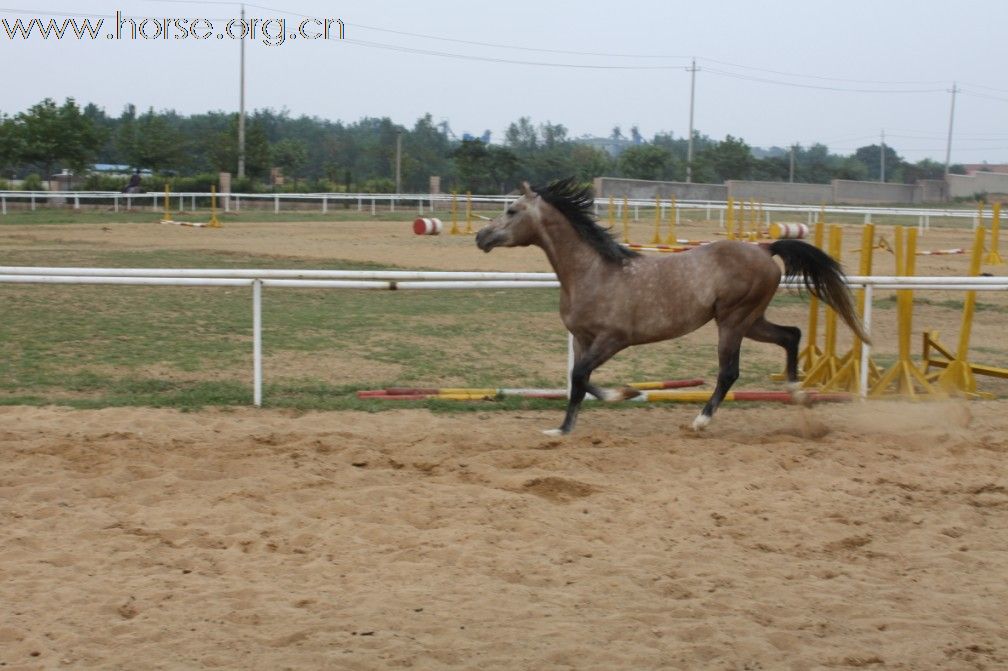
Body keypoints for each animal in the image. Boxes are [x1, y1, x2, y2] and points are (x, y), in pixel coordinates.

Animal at [473, 177, 866, 433]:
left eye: (511, 210)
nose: (480, 237)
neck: (593, 271)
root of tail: (764, 248)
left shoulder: (613, 340)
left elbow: (580, 376)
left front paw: (621, 396)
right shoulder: (582, 339)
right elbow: (579, 381)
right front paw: (571, 423)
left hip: (733, 321)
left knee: (729, 371)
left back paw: (701, 421)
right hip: (750, 319)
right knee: (791, 335)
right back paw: (796, 393)